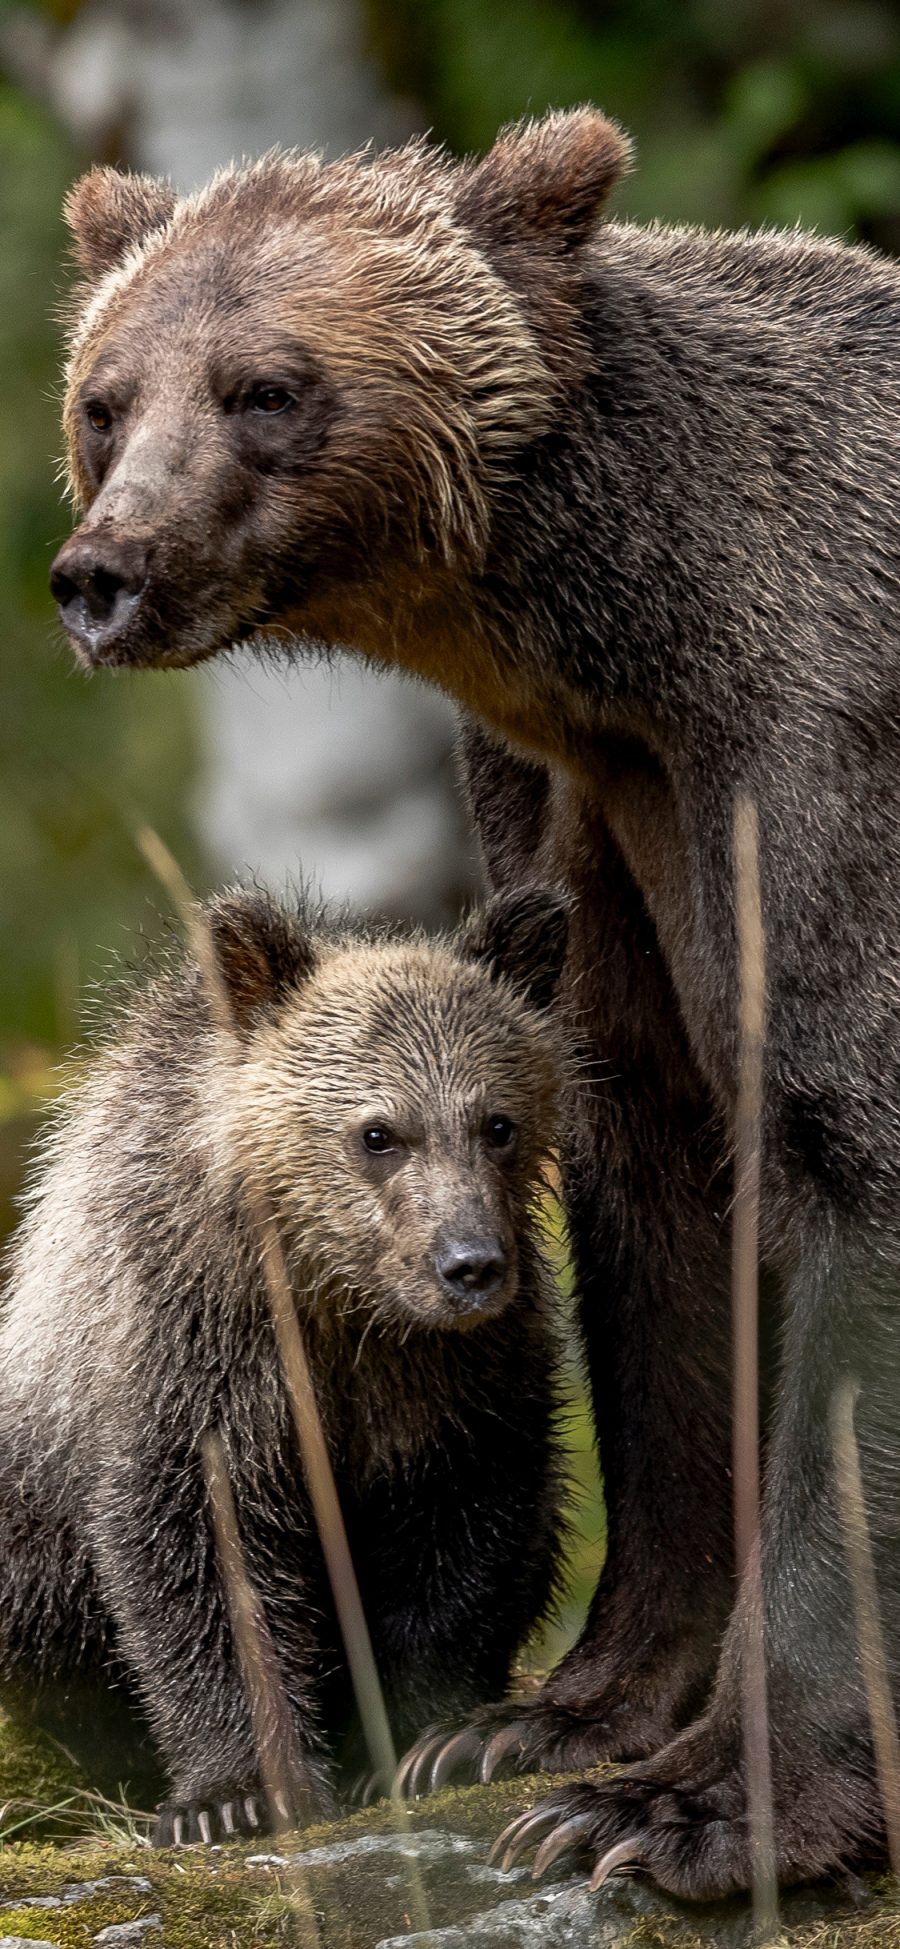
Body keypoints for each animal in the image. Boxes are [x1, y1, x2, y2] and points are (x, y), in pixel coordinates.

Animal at [49, 110, 900, 1902]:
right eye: (105, 395)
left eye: (266, 384)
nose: (104, 574)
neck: (634, 649)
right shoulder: (579, 804)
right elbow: (661, 1201)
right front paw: (545, 1723)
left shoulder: (821, 742)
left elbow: (848, 1146)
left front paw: (687, 1805)